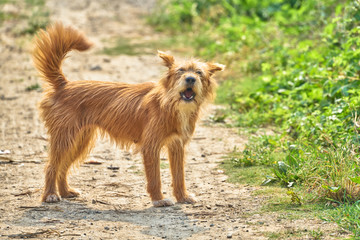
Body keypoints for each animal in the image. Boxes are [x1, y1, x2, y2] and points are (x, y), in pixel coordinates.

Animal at [33, 22, 225, 206]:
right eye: (180, 71)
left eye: (199, 73)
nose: (190, 79)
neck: (170, 104)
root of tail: (63, 85)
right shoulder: (151, 147)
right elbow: (155, 178)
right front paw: (159, 200)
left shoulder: (177, 146)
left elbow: (179, 176)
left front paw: (182, 196)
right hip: (65, 138)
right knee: (51, 166)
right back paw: (50, 195)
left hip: (80, 140)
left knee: (63, 166)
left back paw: (65, 191)